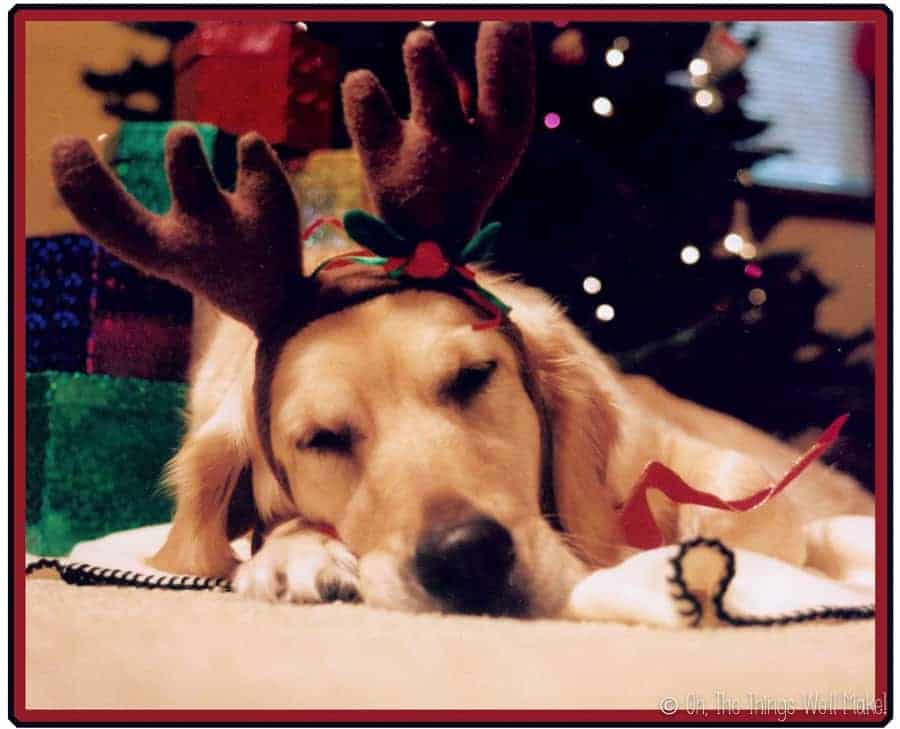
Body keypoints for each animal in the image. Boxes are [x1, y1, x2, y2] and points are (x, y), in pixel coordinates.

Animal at [49, 22, 872, 616]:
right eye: (321, 440)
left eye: (475, 377)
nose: (464, 556)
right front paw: (291, 554)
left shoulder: (682, 454)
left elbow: (733, 500)